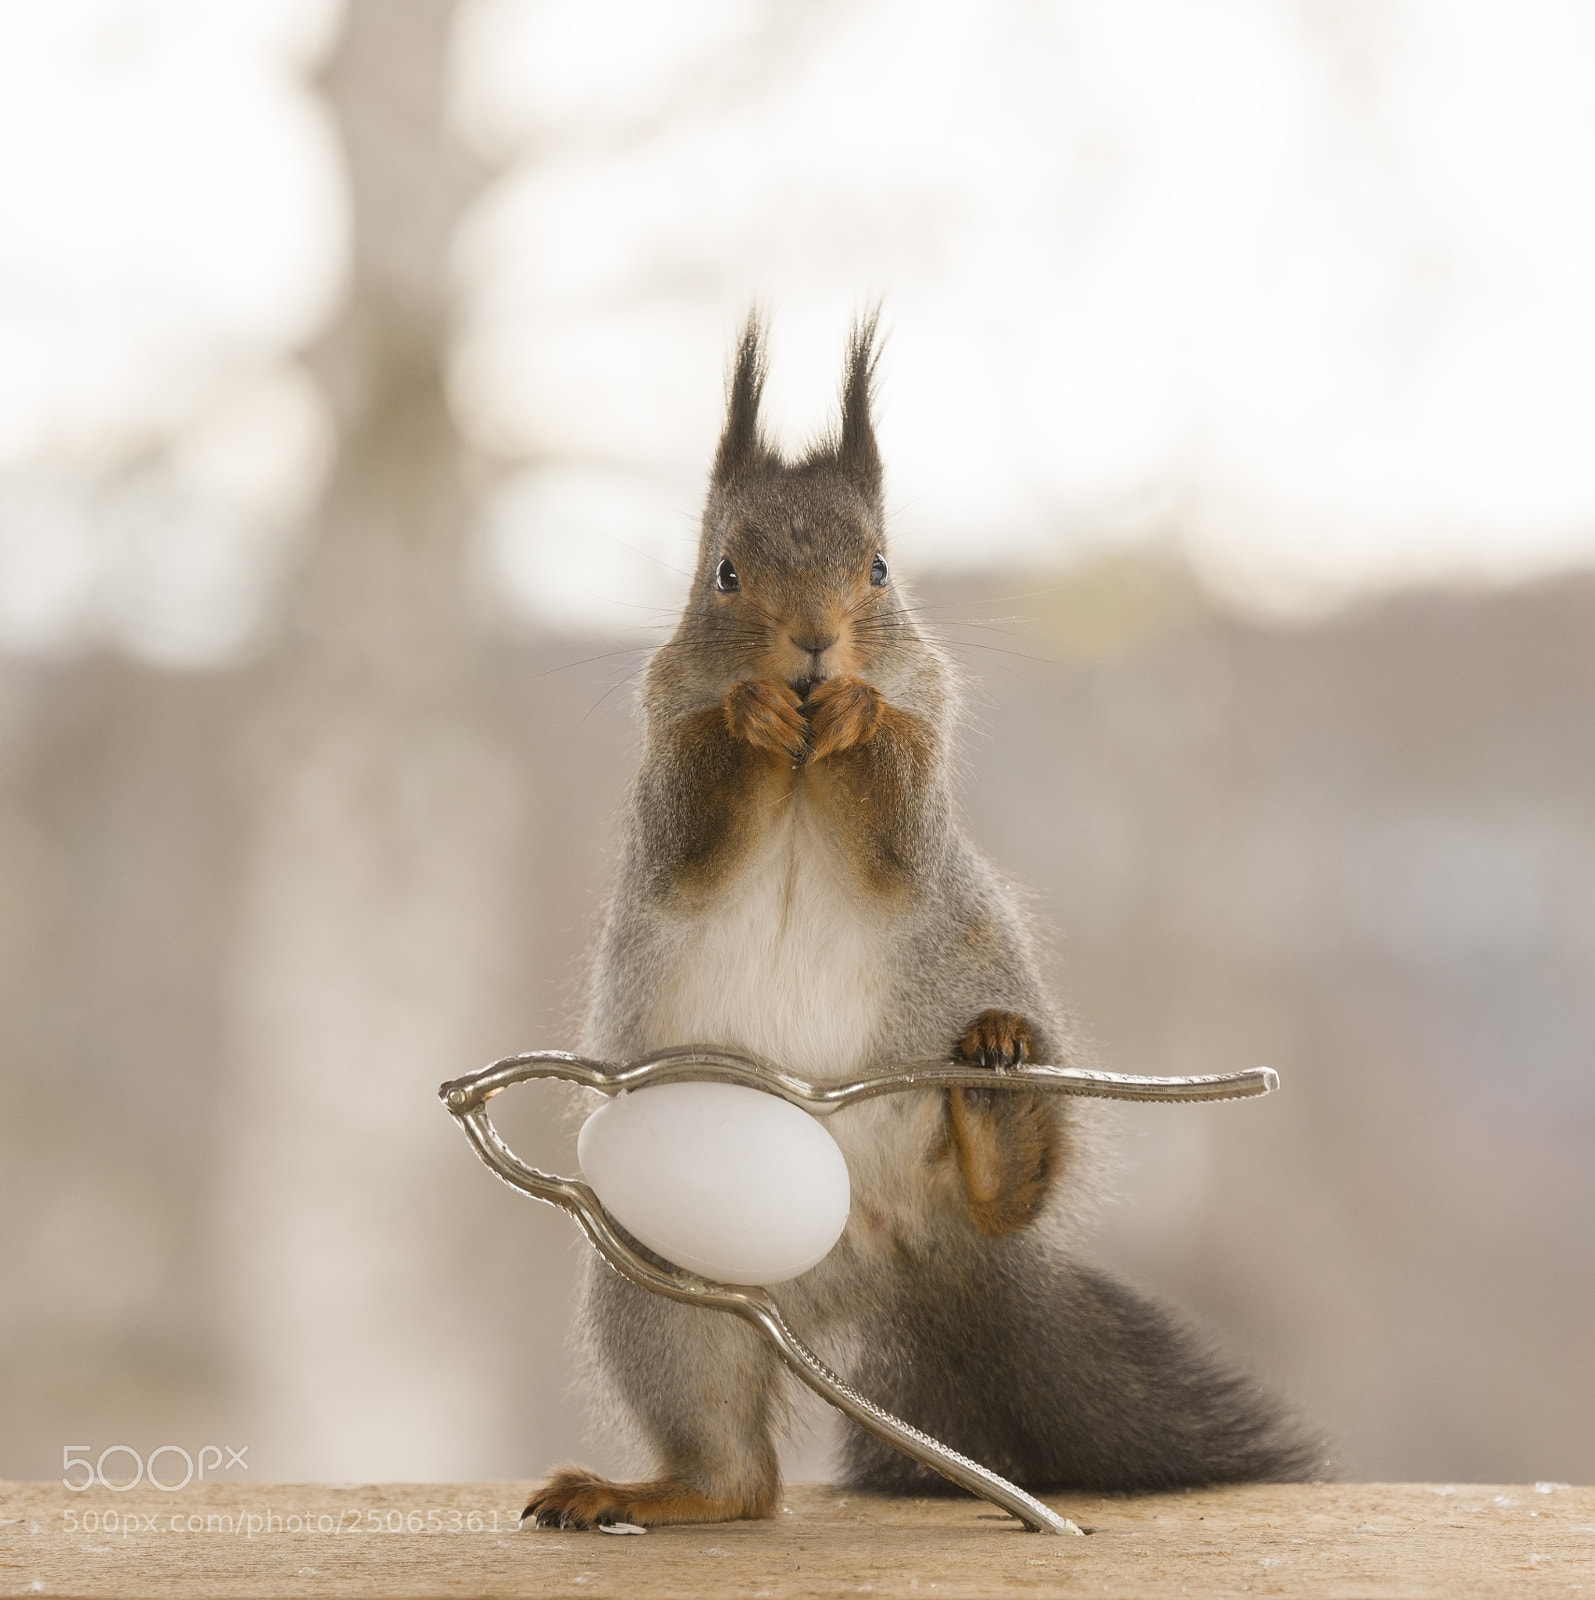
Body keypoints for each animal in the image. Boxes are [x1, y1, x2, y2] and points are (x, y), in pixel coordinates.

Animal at [525, 316, 1324, 1530]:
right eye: (723, 572)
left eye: (880, 568)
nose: (813, 647)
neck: (802, 761)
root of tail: (885, 1255)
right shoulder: (663, 774)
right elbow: (697, 816)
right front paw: (749, 711)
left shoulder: (926, 743)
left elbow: (897, 819)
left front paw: (857, 710)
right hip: (666, 1289)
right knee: (739, 1475)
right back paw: (656, 1492)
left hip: (974, 1030)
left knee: (1008, 1195)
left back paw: (996, 1106)